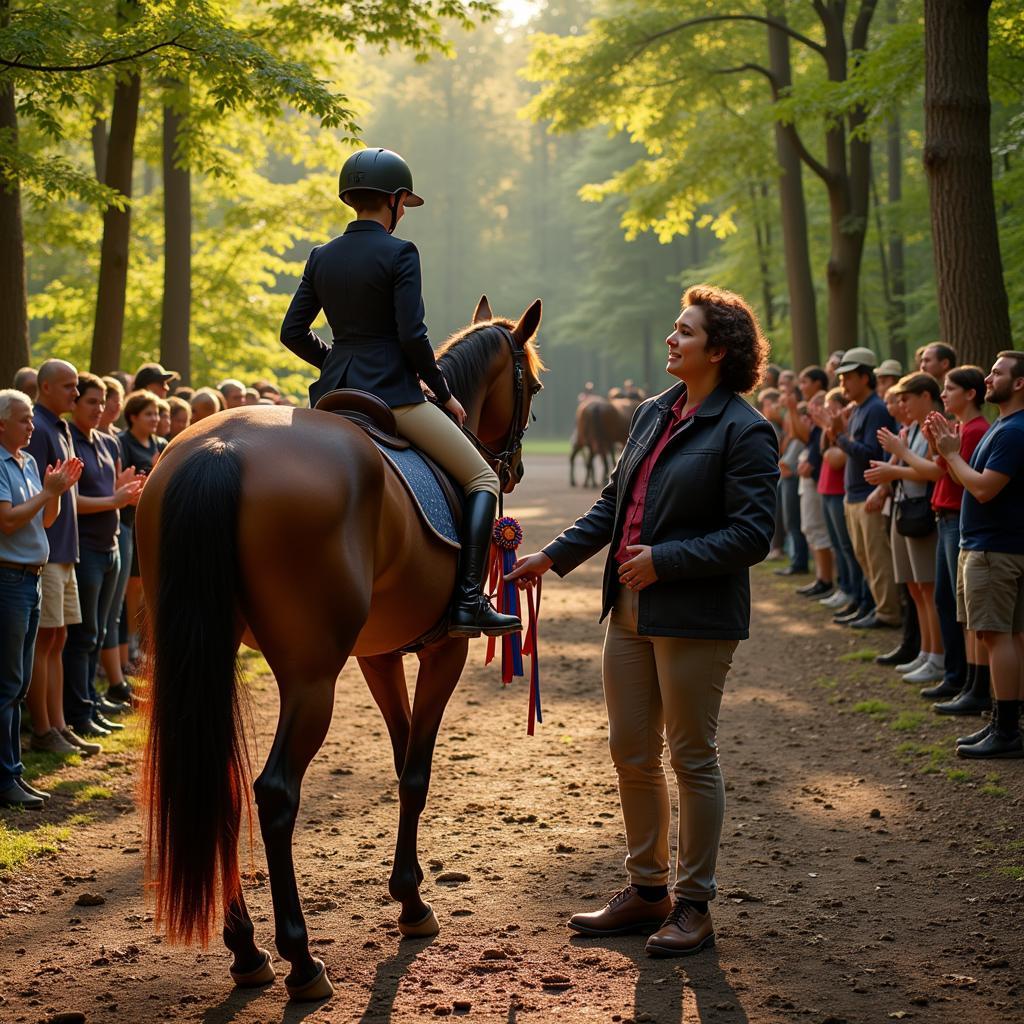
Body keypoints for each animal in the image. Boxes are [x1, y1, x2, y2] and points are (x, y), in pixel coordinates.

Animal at [140, 294, 548, 999]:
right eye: (535, 387)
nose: (515, 468)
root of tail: (217, 448)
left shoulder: (378, 654)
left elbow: (402, 758)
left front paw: (407, 895)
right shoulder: (443, 652)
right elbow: (416, 773)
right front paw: (412, 904)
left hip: (206, 652)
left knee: (222, 784)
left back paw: (247, 951)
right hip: (310, 677)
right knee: (275, 792)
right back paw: (301, 960)